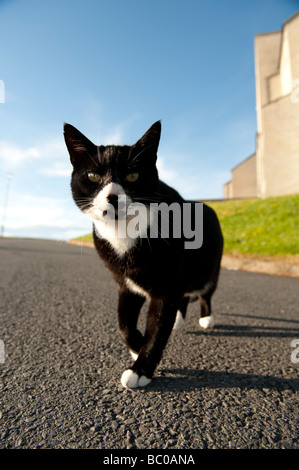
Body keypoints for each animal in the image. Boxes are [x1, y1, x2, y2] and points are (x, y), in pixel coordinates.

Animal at [64, 121, 224, 390]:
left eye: (132, 176)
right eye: (93, 176)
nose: (113, 196)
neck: (124, 232)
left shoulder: (167, 285)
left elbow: (157, 328)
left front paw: (141, 369)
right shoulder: (126, 283)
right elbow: (123, 324)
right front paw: (137, 348)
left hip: (210, 267)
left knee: (205, 291)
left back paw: (206, 318)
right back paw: (178, 319)